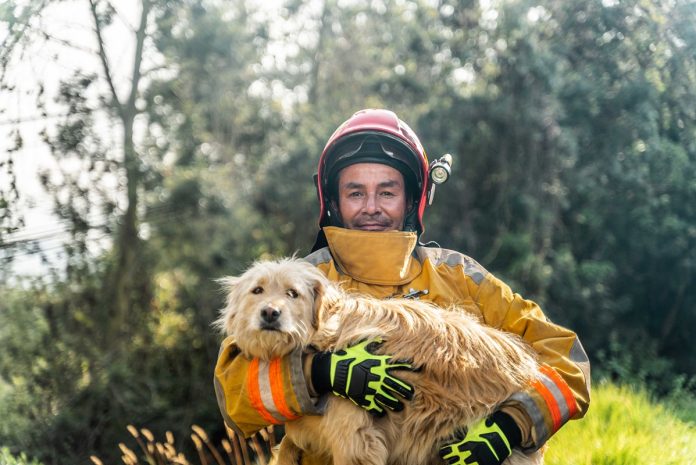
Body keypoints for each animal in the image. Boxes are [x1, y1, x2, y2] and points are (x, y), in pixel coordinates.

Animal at [218, 258, 544, 464]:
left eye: (293, 293)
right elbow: (286, 446)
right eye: (257, 290)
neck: (324, 334)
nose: (270, 313)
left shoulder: (357, 442)